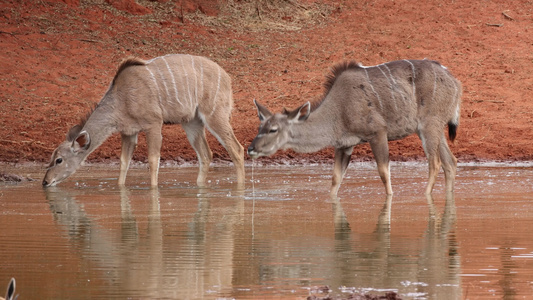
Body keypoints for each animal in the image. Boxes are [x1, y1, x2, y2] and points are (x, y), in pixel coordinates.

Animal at [42, 53, 245, 186]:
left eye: (59, 160)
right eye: (52, 157)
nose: (45, 182)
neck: (121, 98)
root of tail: (227, 78)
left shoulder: (153, 123)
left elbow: (153, 160)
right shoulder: (129, 132)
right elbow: (124, 162)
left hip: (215, 115)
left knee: (236, 149)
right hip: (191, 122)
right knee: (206, 154)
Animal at [249, 59, 462, 196]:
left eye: (273, 129)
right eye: (260, 126)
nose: (251, 149)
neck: (339, 110)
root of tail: (455, 82)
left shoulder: (378, 132)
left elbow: (384, 173)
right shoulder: (344, 145)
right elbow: (336, 178)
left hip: (428, 126)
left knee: (435, 162)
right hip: (433, 129)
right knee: (450, 162)